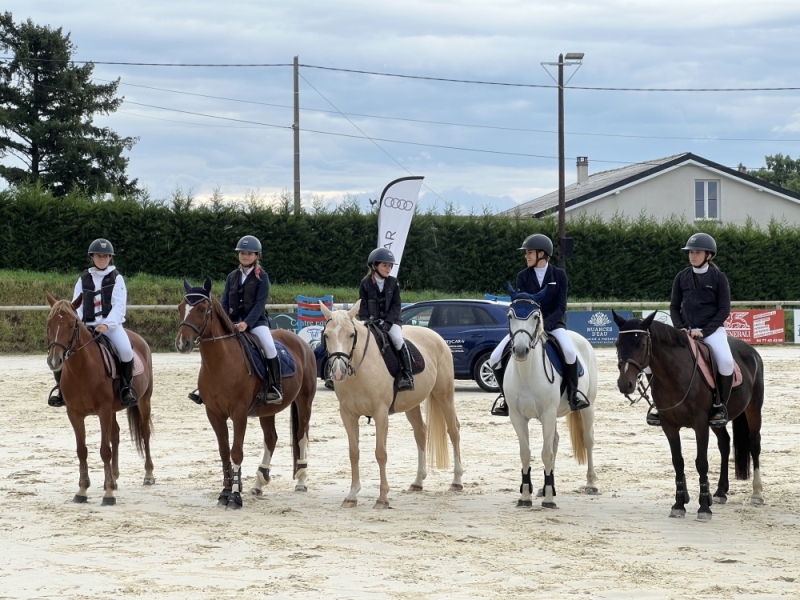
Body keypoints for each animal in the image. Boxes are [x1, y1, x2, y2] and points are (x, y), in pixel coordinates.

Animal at [45, 292, 155, 504]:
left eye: (71, 325)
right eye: (49, 324)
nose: (55, 361)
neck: (81, 369)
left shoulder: (103, 411)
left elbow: (105, 450)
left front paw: (108, 494)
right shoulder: (75, 414)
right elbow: (82, 450)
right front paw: (82, 490)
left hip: (144, 401)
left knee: (145, 432)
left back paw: (148, 475)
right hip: (113, 410)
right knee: (116, 435)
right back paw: (113, 478)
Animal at [174, 278, 316, 508]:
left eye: (202, 309)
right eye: (180, 308)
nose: (181, 343)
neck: (220, 363)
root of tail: (301, 342)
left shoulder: (239, 413)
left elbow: (236, 452)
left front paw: (235, 497)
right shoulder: (214, 414)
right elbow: (224, 452)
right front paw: (225, 491)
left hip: (304, 402)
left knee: (302, 436)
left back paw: (301, 481)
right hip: (267, 411)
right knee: (271, 438)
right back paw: (259, 483)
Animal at [318, 302, 462, 508]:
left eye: (351, 335)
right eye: (327, 335)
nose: (338, 372)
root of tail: (436, 336)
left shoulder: (381, 413)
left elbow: (380, 453)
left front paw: (382, 498)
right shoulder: (347, 415)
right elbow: (354, 452)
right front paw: (352, 495)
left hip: (444, 395)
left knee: (453, 430)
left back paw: (457, 481)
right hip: (412, 404)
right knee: (421, 432)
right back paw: (418, 482)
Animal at [504, 288, 596, 508]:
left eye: (536, 317)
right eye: (510, 316)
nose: (521, 350)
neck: (527, 373)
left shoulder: (547, 414)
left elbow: (546, 453)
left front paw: (548, 500)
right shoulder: (517, 417)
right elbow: (526, 453)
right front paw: (526, 496)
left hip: (587, 407)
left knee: (588, 440)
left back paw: (591, 484)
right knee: (554, 441)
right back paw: (546, 487)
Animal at [616, 310, 764, 520]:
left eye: (642, 344)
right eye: (617, 344)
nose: (624, 384)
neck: (675, 375)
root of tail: (752, 351)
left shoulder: (700, 424)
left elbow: (701, 462)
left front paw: (703, 507)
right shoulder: (669, 426)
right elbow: (678, 461)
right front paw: (679, 503)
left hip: (753, 409)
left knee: (754, 444)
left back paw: (757, 493)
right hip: (717, 422)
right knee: (725, 443)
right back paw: (720, 492)